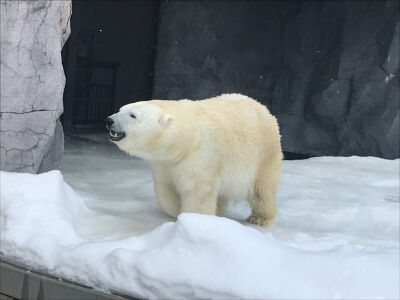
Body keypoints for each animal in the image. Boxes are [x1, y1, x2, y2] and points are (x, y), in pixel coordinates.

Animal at [104, 94, 282, 227]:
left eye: (133, 115)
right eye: (120, 109)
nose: (109, 120)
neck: (187, 139)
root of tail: (265, 110)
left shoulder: (201, 156)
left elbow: (198, 191)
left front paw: (194, 219)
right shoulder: (164, 163)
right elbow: (165, 190)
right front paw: (178, 209)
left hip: (264, 155)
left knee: (262, 191)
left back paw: (260, 218)